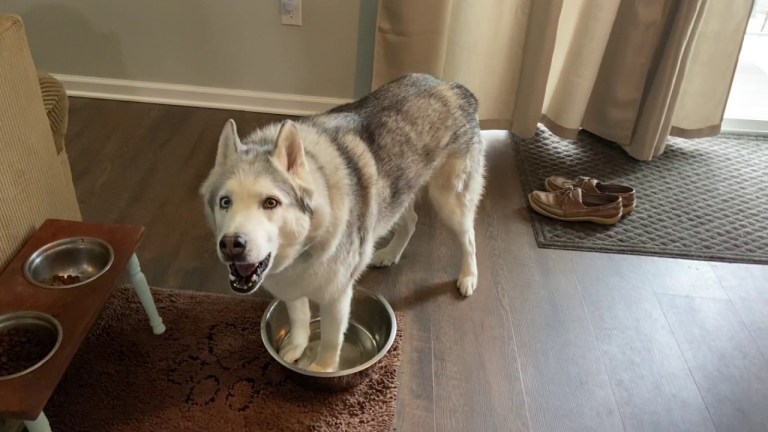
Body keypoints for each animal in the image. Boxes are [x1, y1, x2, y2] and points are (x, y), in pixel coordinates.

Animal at [198, 73, 486, 372]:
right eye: (225, 202)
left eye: (270, 203)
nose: (232, 244)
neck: (306, 244)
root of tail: (452, 86)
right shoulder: (291, 286)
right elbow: (299, 317)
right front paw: (297, 346)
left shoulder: (336, 296)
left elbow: (330, 340)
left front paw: (321, 369)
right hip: (398, 192)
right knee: (411, 221)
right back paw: (391, 253)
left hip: (450, 200)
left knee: (469, 238)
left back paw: (468, 276)